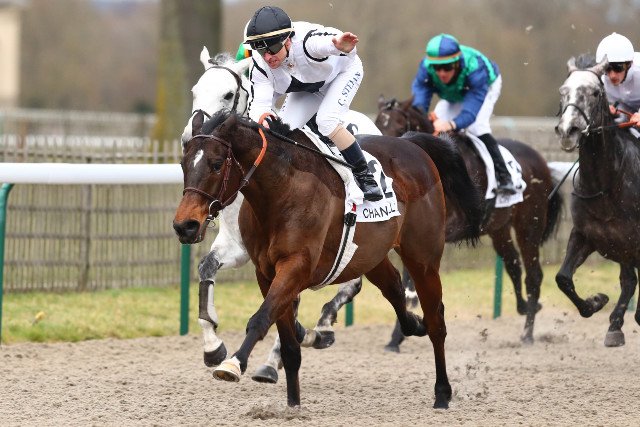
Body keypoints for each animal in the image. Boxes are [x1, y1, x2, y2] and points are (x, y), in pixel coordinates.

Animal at [173, 109, 484, 408]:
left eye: (216, 164)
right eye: (183, 164)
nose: (184, 226)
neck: (282, 189)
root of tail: (411, 144)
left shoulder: (296, 266)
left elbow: (261, 318)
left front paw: (234, 363)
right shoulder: (266, 272)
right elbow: (288, 344)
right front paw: (293, 405)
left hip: (423, 258)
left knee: (436, 321)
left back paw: (442, 393)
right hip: (370, 255)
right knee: (395, 287)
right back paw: (413, 325)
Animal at [182, 48, 389, 383]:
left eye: (228, 95)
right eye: (195, 91)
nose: (191, 135)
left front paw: (276, 356)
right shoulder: (238, 246)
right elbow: (206, 268)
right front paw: (213, 347)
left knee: (353, 280)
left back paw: (321, 327)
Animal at [375, 96, 563, 345]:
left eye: (398, 128)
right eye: (378, 125)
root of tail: (543, 163)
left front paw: (400, 333)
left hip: (529, 225)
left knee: (533, 275)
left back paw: (528, 334)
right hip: (499, 229)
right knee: (513, 264)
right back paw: (524, 308)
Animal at [555, 55, 640, 346]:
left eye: (594, 92)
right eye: (563, 91)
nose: (568, 130)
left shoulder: (633, 243)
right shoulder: (586, 235)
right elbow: (562, 278)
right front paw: (596, 302)